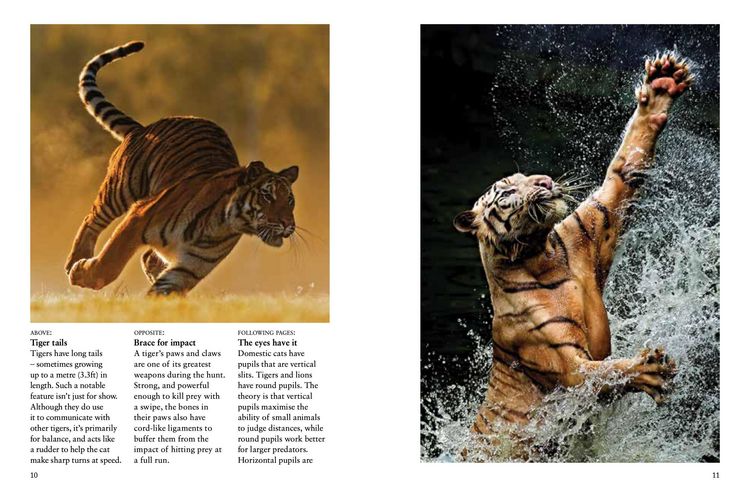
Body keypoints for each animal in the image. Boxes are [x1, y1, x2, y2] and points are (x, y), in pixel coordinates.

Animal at [64, 41, 299, 296]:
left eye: (290, 200)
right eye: (267, 196)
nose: (287, 224)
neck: (222, 224)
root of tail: (143, 127)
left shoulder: (192, 265)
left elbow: (165, 289)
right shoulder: (138, 217)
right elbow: (111, 263)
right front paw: (81, 273)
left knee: (148, 256)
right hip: (120, 189)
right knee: (91, 219)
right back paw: (74, 260)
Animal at [453, 53, 693, 457]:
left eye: (526, 177)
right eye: (507, 192)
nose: (545, 181)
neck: (542, 255)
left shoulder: (593, 223)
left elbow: (624, 166)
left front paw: (661, 86)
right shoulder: (567, 365)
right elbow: (603, 372)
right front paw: (648, 370)